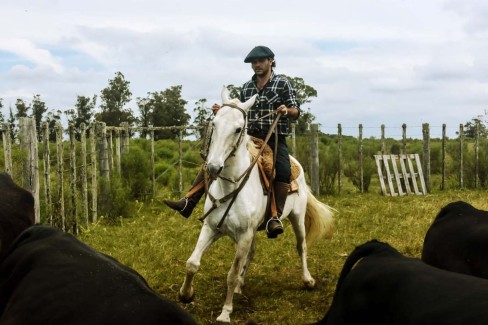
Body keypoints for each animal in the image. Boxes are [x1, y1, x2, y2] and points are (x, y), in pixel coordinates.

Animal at [179, 85, 336, 322]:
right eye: (214, 124)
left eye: (238, 129)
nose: (213, 167)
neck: (230, 186)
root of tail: (296, 163)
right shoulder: (211, 227)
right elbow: (192, 263)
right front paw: (186, 294)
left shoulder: (244, 235)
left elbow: (232, 273)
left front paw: (225, 312)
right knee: (251, 254)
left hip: (297, 217)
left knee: (301, 246)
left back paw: (307, 279)